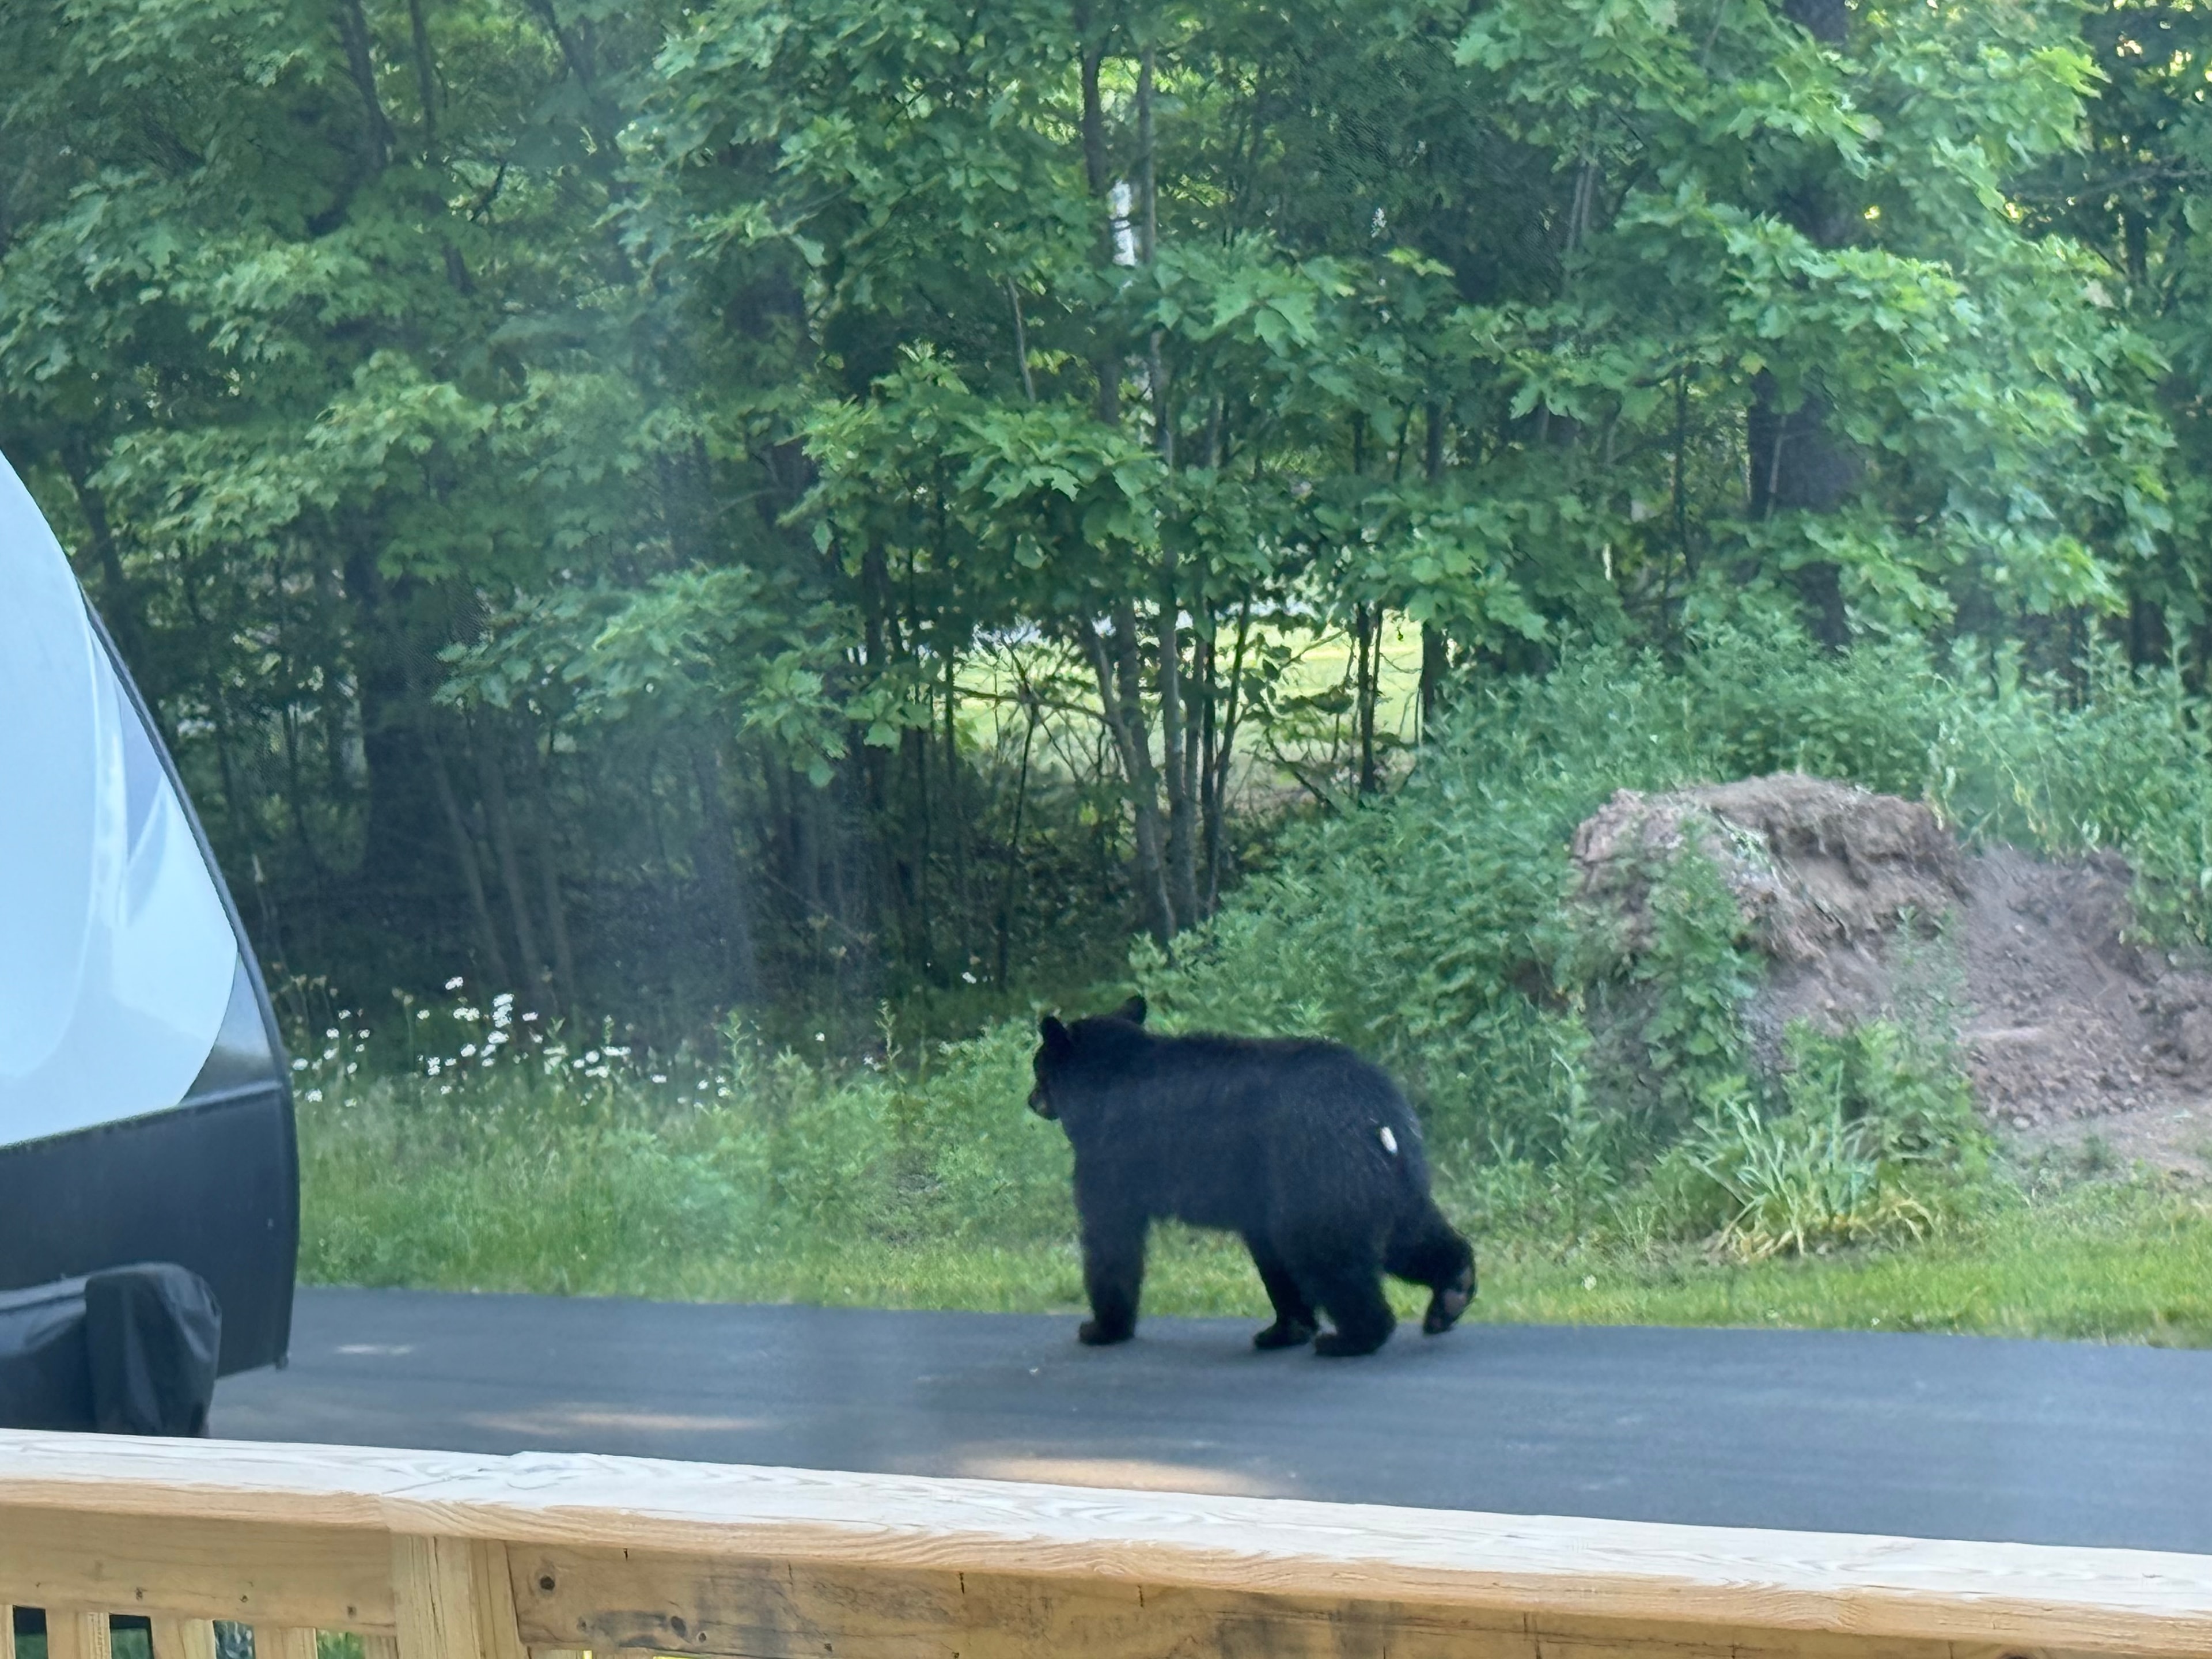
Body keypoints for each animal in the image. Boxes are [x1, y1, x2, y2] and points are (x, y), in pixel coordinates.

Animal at [1028, 995, 1475, 1357]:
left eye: (1038, 1065)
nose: (1032, 1100)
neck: (1107, 1075)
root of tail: (1375, 1108)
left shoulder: (1111, 1158)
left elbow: (1110, 1236)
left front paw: (1103, 1327)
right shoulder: (1258, 1194)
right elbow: (1269, 1255)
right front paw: (1284, 1329)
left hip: (1318, 1167)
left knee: (1325, 1249)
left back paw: (1352, 1338)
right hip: (1388, 1176)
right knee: (1410, 1234)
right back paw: (1452, 1291)